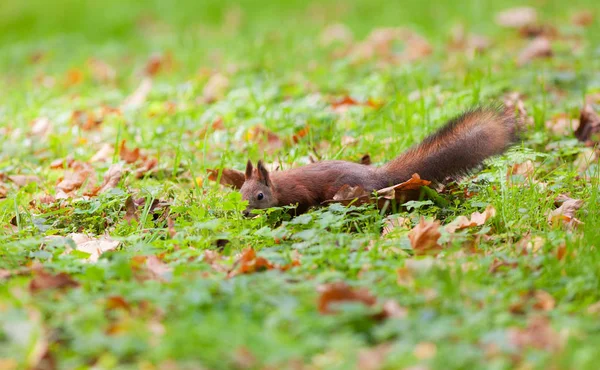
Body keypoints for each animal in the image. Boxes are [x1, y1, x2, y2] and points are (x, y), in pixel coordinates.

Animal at [239, 105, 516, 215]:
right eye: (240, 192)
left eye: (260, 196)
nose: (244, 212)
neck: (278, 187)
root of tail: (377, 176)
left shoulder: (298, 193)